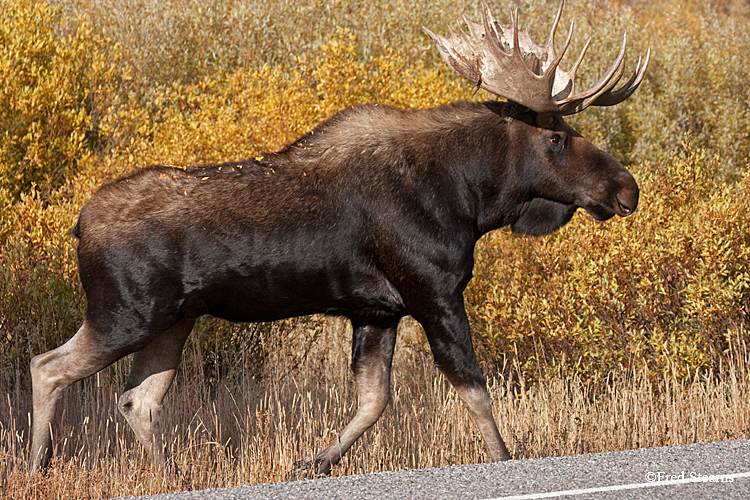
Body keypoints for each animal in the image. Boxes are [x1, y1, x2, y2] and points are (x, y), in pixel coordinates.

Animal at [32, 0, 648, 474]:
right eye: (555, 138)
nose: (627, 189)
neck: (472, 196)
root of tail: (80, 224)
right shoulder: (434, 293)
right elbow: (474, 391)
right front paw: (504, 462)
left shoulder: (377, 310)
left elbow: (374, 401)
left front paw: (312, 462)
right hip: (125, 313)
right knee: (48, 367)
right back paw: (36, 464)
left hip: (174, 321)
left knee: (137, 401)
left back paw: (172, 473)